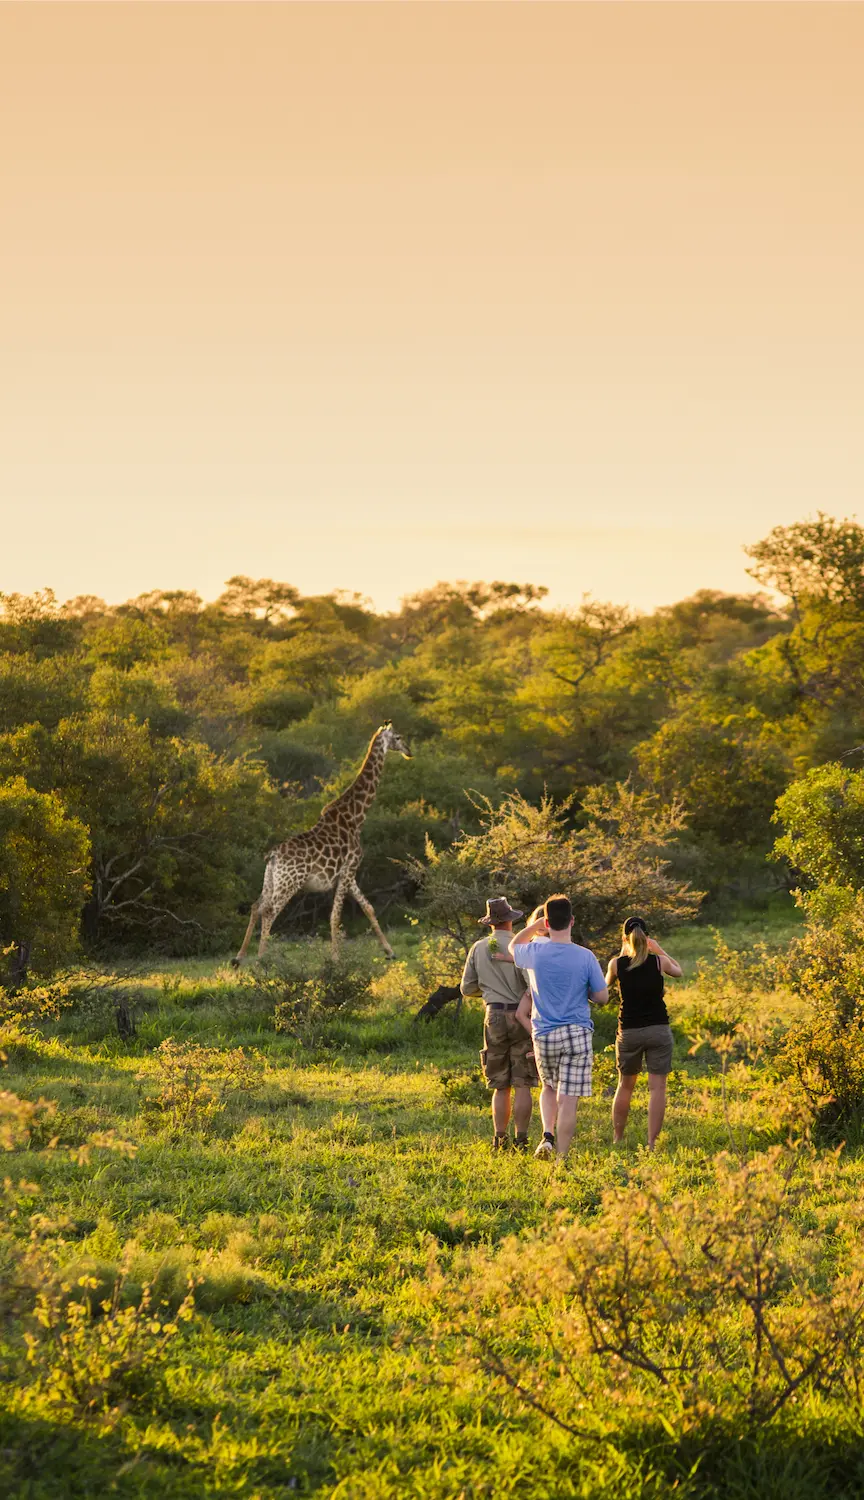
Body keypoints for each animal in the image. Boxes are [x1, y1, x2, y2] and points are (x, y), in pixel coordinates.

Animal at [232, 723, 411, 960]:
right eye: (398, 737)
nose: (409, 751)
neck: (356, 817)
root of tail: (273, 855)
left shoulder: (348, 874)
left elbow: (368, 907)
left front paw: (390, 952)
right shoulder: (348, 870)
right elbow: (335, 915)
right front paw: (335, 958)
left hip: (271, 879)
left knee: (256, 906)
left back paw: (239, 957)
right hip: (290, 882)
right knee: (269, 911)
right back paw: (262, 959)